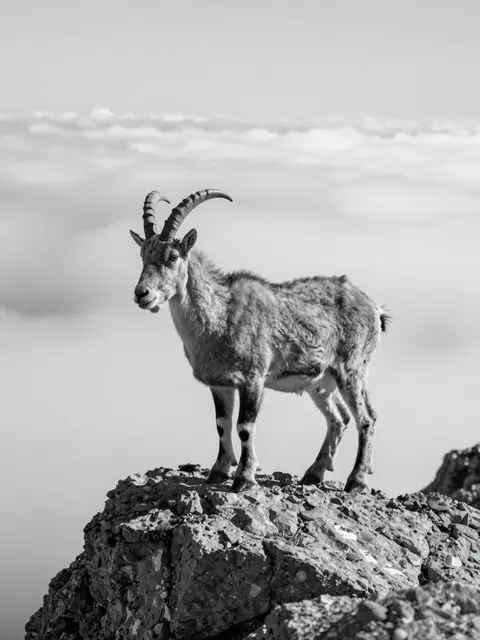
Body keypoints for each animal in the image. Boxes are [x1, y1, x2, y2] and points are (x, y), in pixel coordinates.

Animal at [130, 189, 390, 493]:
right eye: (142, 255)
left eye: (172, 256)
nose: (142, 294)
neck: (220, 316)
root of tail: (375, 308)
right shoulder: (220, 384)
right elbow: (221, 424)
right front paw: (219, 470)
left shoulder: (253, 378)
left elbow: (245, 427)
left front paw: (244, 477)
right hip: (320, 382)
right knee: (339, 418)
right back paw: (314, 473)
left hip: (352, 369)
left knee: (366, 418)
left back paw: (356, 479)